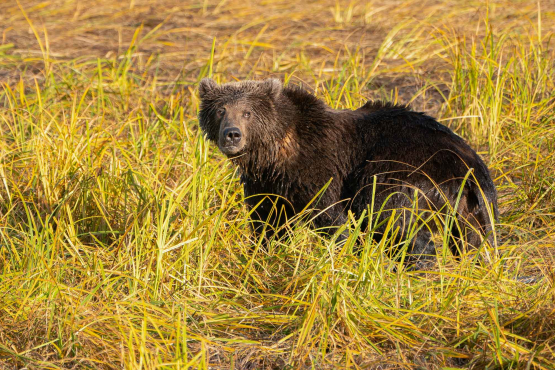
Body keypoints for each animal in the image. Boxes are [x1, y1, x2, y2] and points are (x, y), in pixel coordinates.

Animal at [199, 78, 500, 264]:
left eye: (247, 112)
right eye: (220, 110)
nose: (232, 134)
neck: (276, 154)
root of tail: (472, 167)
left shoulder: (318, 167)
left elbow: (330, 215)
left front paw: (347, 249)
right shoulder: (265, 183)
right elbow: (268, 220)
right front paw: (261, 253)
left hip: (407, 169)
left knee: (388, 212)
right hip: (469, 207)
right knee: (471, 240)